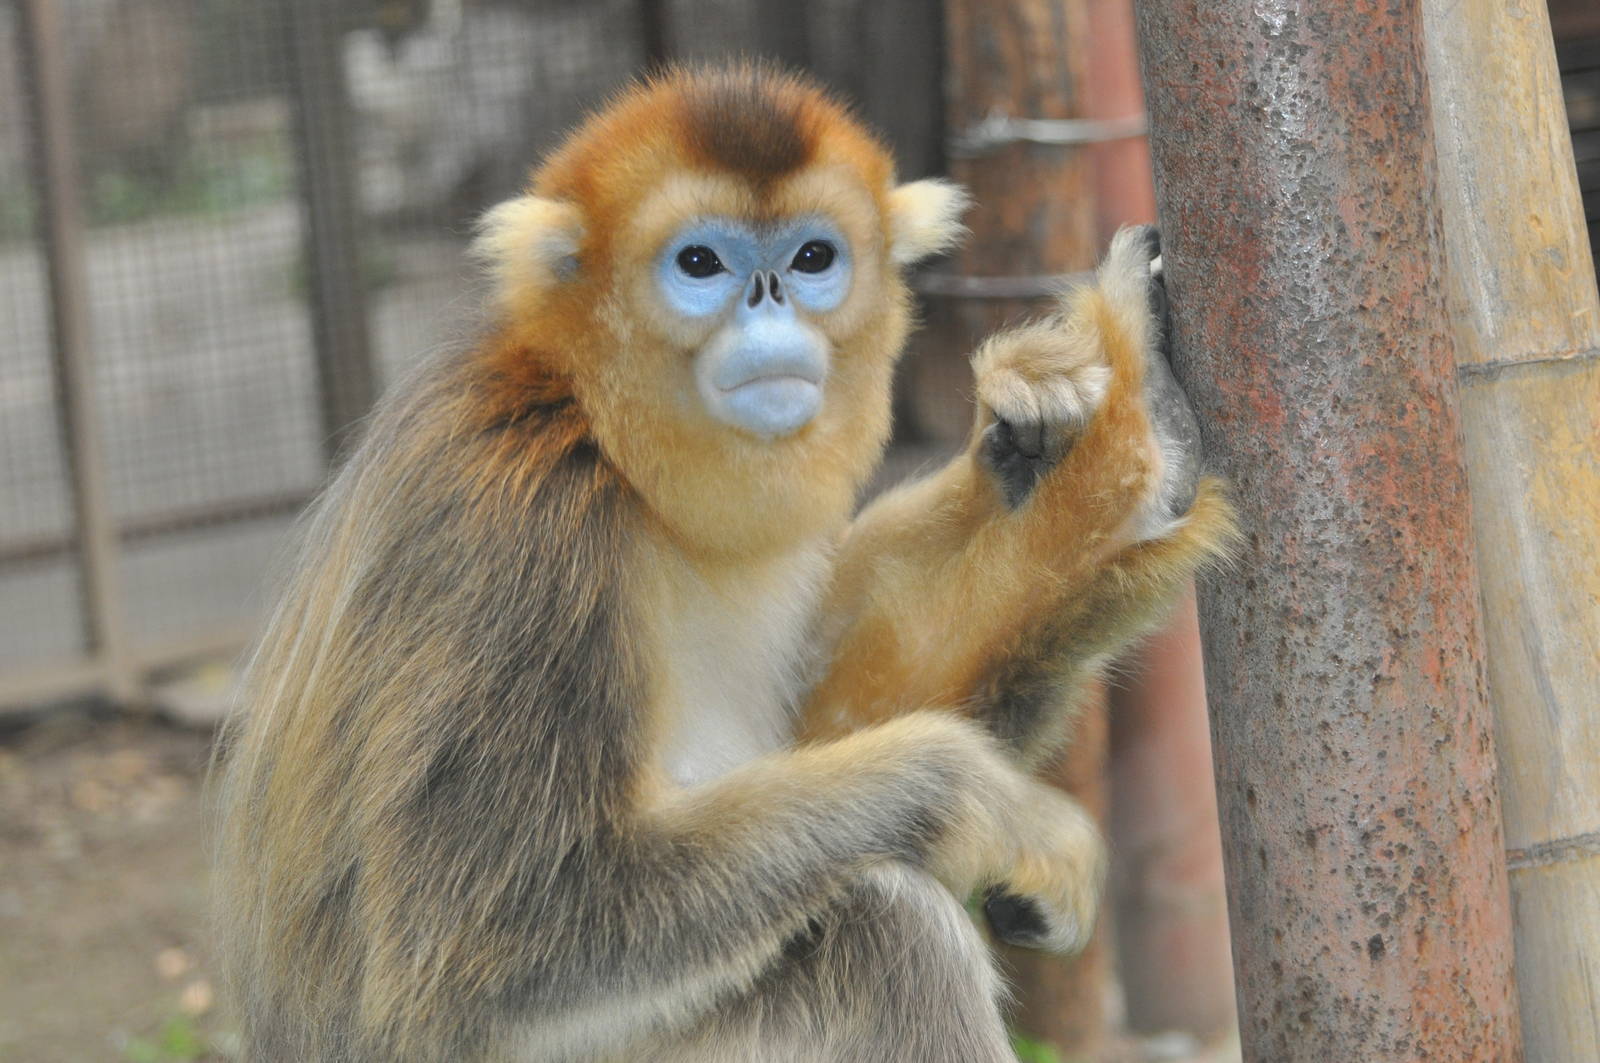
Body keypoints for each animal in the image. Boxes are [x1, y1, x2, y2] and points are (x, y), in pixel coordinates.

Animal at [212, 64, 1233, 1063]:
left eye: (814, 257)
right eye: (700, 263)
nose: (769, 295)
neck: (603, 440)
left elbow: (833, 720)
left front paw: (1084, 454)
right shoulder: (515, 529)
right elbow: (492, 936)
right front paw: (991, 801)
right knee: (888, 931)